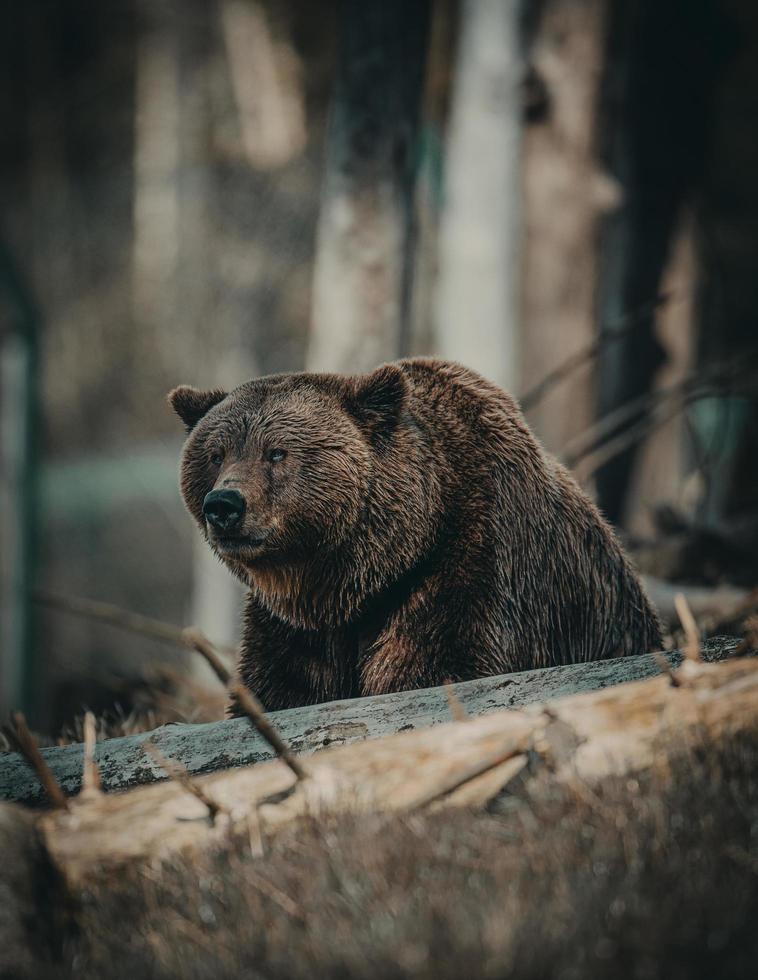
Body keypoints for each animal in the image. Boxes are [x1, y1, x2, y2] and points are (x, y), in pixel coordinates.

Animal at [169, 356, 664, 708]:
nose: (224, 505)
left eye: (276, 452)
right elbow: (278, 688)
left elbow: (437, 664)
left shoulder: (473, 564)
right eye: (216, 453)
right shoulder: (296, 628)